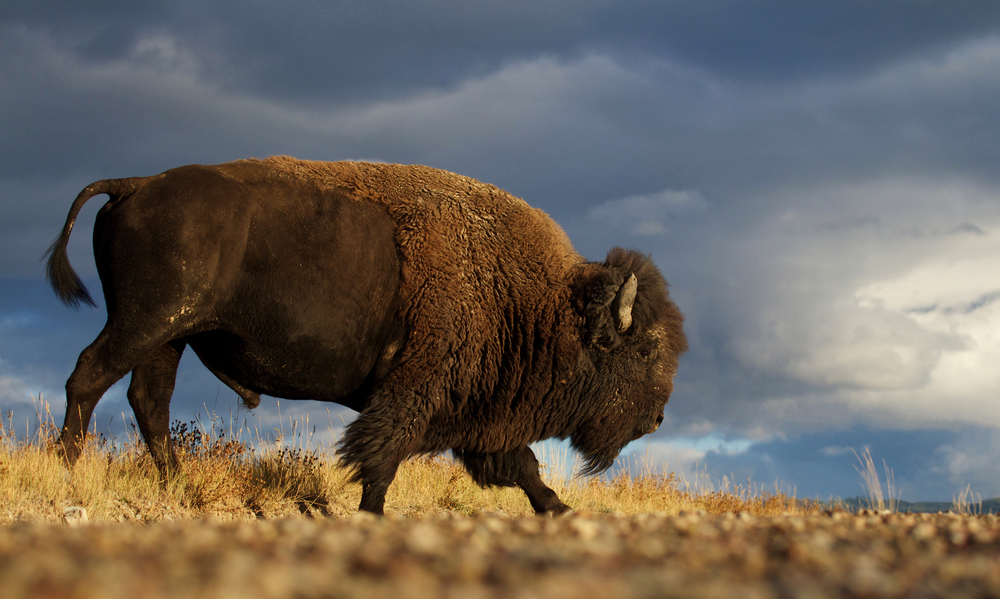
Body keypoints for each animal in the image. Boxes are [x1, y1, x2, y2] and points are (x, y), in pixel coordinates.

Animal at [46, 156, 686, 515]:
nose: (656, 418)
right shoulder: (413, 392)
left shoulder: (479, 416)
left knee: (147, 401)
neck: (540, 300)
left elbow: (522, 467)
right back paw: (67, 469)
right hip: (143, 324)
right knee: (89, 377)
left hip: (169, 336)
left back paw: (177, 482)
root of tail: (135, 184)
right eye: (643, 349)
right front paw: (372, 515)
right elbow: (382, 456)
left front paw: (559, 509)